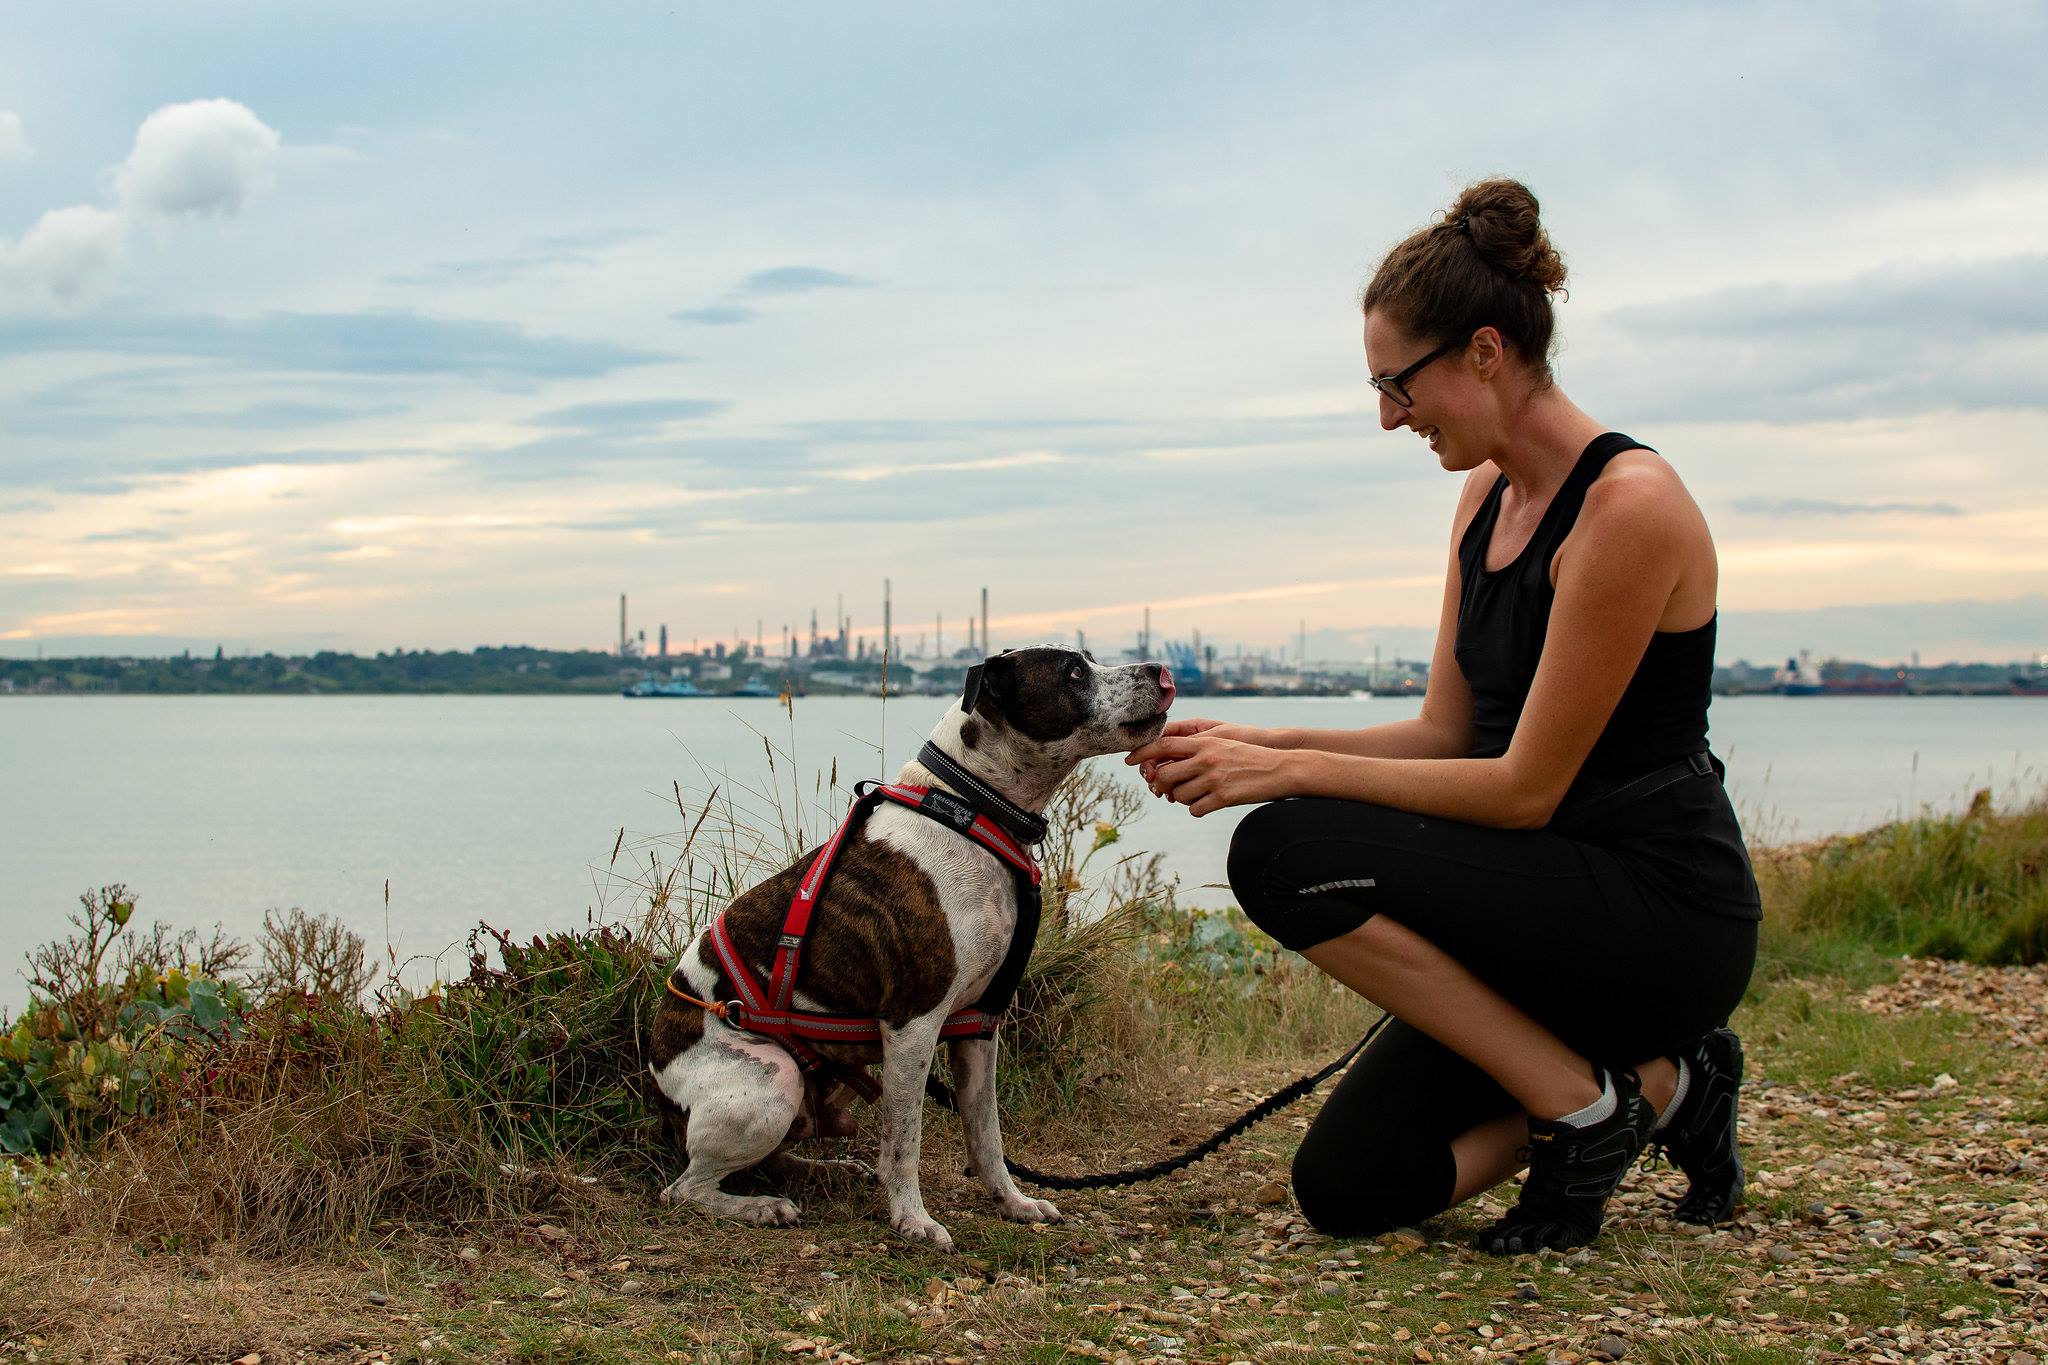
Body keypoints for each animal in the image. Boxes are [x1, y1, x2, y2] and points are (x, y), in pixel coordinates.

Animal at [647, 646, 1179, 1252]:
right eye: (1073, 671)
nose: (1160, 670)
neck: (970, 807)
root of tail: (659, 1078)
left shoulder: (980, 1025)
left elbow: (987, 1134)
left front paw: (1011, 1202)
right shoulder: (913, 1023)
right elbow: (905, 1140)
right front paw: (912, 1220)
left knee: (769, 1161)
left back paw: (825, 1171)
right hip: (770, 1082)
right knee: (684, 1189)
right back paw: (760, 1208)